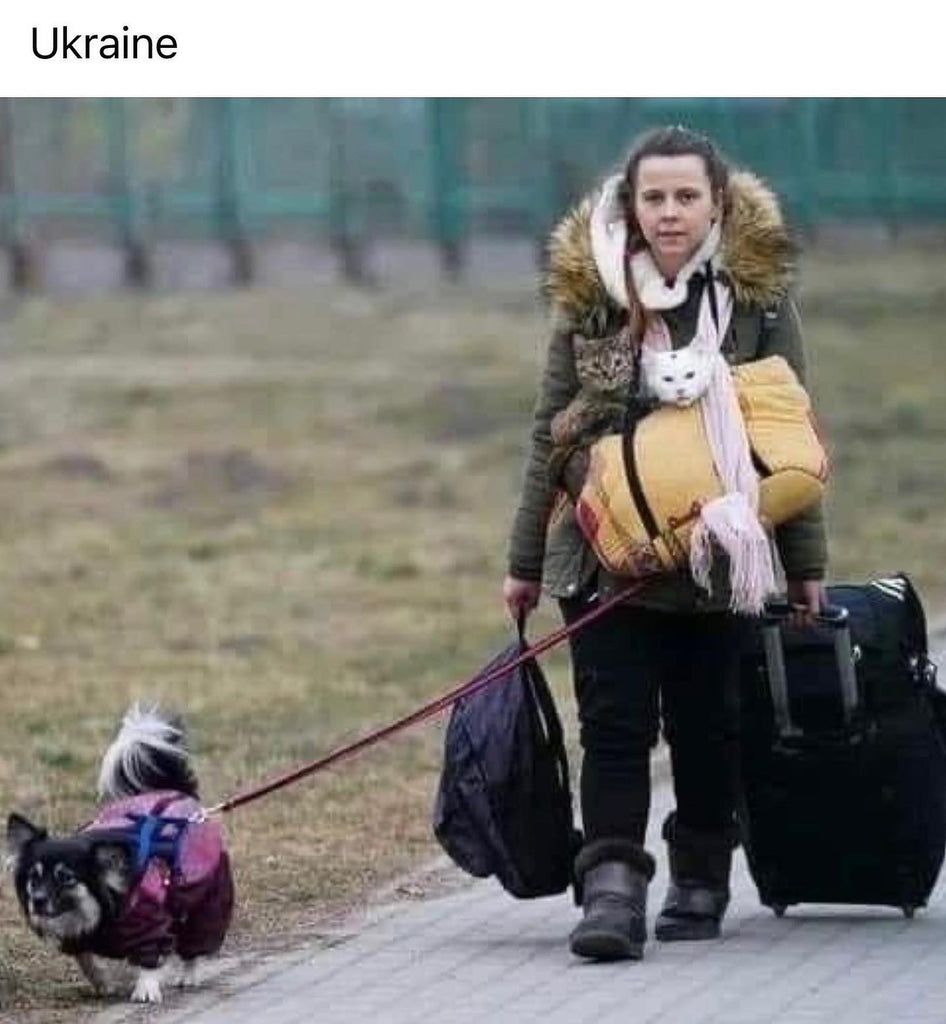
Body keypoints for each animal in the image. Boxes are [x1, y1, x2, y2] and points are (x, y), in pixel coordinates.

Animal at [6, 708, 234, 1003]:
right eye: (34, 878)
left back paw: (188, 975)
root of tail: (176, 793)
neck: (97, 910)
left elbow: (150, 958)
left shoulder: (148, 925)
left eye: (66, 878)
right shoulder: (78, 939)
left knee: (195, 943)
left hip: (206, 899)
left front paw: (146, 989)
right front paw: (103, 983)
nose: (38, 900)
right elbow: (86, 960)